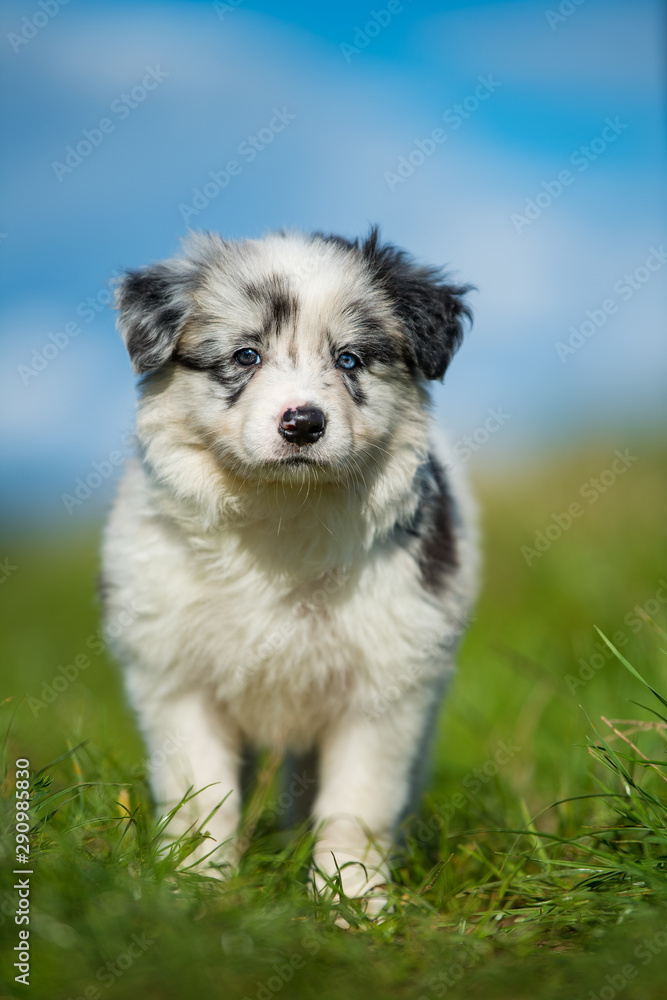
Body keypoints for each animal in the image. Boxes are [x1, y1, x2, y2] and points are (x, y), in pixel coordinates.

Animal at [102, 227, 478, 916]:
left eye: (350, 360)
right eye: (246, 356)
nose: (303, 423)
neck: (280, 513)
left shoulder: (384, 687)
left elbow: (355, 804)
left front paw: (352, 904)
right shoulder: (177, 678)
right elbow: (202, 797)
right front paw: (194, 890)